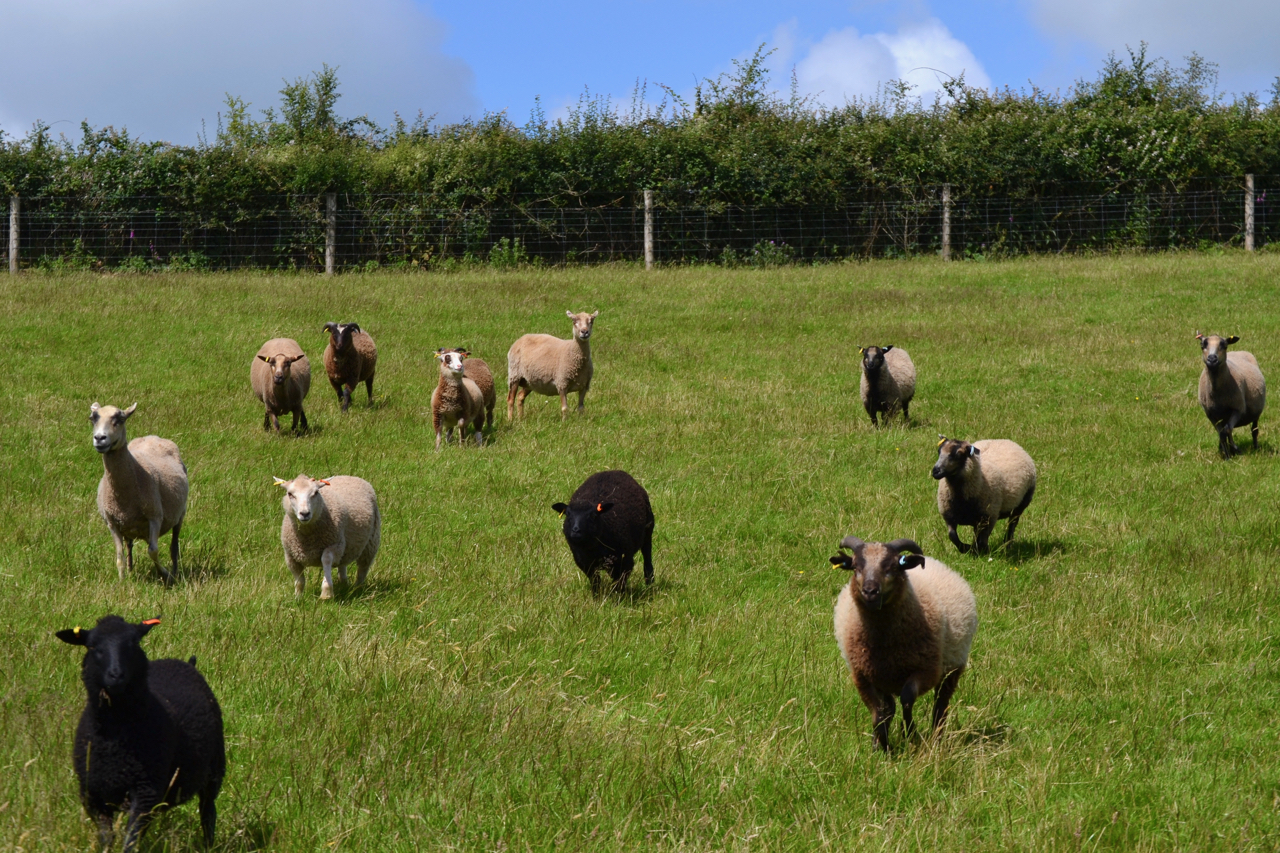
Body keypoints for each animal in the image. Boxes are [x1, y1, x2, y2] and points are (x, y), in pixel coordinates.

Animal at [56, 615, 225, 852]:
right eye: (93, 646)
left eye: (133, 643)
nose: (116, 675)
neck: (115, 737)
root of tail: (184, 663)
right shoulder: (92, 794)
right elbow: (106, 837)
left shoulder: (146, 791)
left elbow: (131, 838)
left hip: (214, 770)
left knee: (208, 812)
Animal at [90, 403, 188, 585]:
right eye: (93, 418)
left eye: (120, 419)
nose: (100, 438)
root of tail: (152, 437)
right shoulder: (112, 523)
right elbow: (119, 557)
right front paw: (122, 583)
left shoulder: (155, 516)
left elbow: (153, 551)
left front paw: (165, 574)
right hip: (127, 525)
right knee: (129, 547)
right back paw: (130, 570)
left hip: (180, 513)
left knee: (174, 545)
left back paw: (175, 572)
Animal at [830, 536, 977, 752]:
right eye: (856, 567)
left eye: (892, 567)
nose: (870, 592)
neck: (882, 642)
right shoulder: (862, 676)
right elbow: (878, 712)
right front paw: (881, 746)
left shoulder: (926, 670)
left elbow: (907, 700)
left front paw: (910, 734)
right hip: (884, 678)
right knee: (889, 707)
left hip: (952, 668)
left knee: (940, 705)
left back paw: (936, 738)